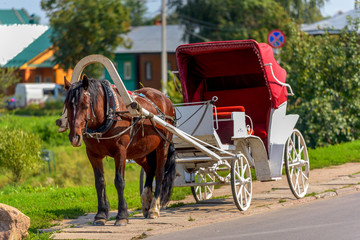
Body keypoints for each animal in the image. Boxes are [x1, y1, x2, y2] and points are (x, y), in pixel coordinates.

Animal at [62, 76, 177, 226]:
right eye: (67, 105)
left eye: (85, 105)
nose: (74, 137)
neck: (109, 115)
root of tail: (165, 98)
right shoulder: (93, 154)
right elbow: (99, 182)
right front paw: (101, 215)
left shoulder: (120, 152)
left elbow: (119, 182)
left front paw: (122, 216)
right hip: (140, 151)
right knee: (150, 169)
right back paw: (146, 202)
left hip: (162, 146)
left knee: (159, 173)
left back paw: (154, 209)